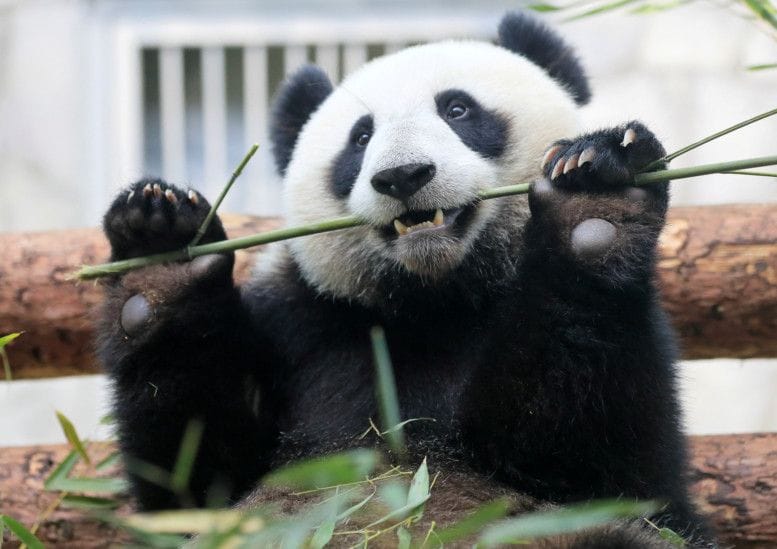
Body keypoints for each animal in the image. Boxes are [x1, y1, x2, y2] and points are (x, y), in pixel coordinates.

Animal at [98, 11, 715, 548]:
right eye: (360, 137)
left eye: (458, 109)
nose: (403, 176)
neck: (432, 297)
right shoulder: (302, 321)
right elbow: (194, 481)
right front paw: (159, 255)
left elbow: (603, 466)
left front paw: (593, 195)